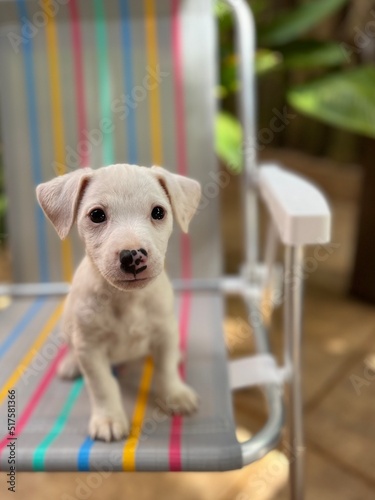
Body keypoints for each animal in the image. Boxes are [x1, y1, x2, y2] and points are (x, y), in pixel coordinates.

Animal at [37, 165, 203, 442]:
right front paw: (109, 419)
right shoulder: (90, 349)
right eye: (96, 215)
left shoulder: (165, 332)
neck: (126, 299)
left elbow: (166, 368)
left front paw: (175, 394)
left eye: (158, 212)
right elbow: (102, 386)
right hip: (68, 326)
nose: (133, 256)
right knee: (72, 347)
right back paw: (71, 364)